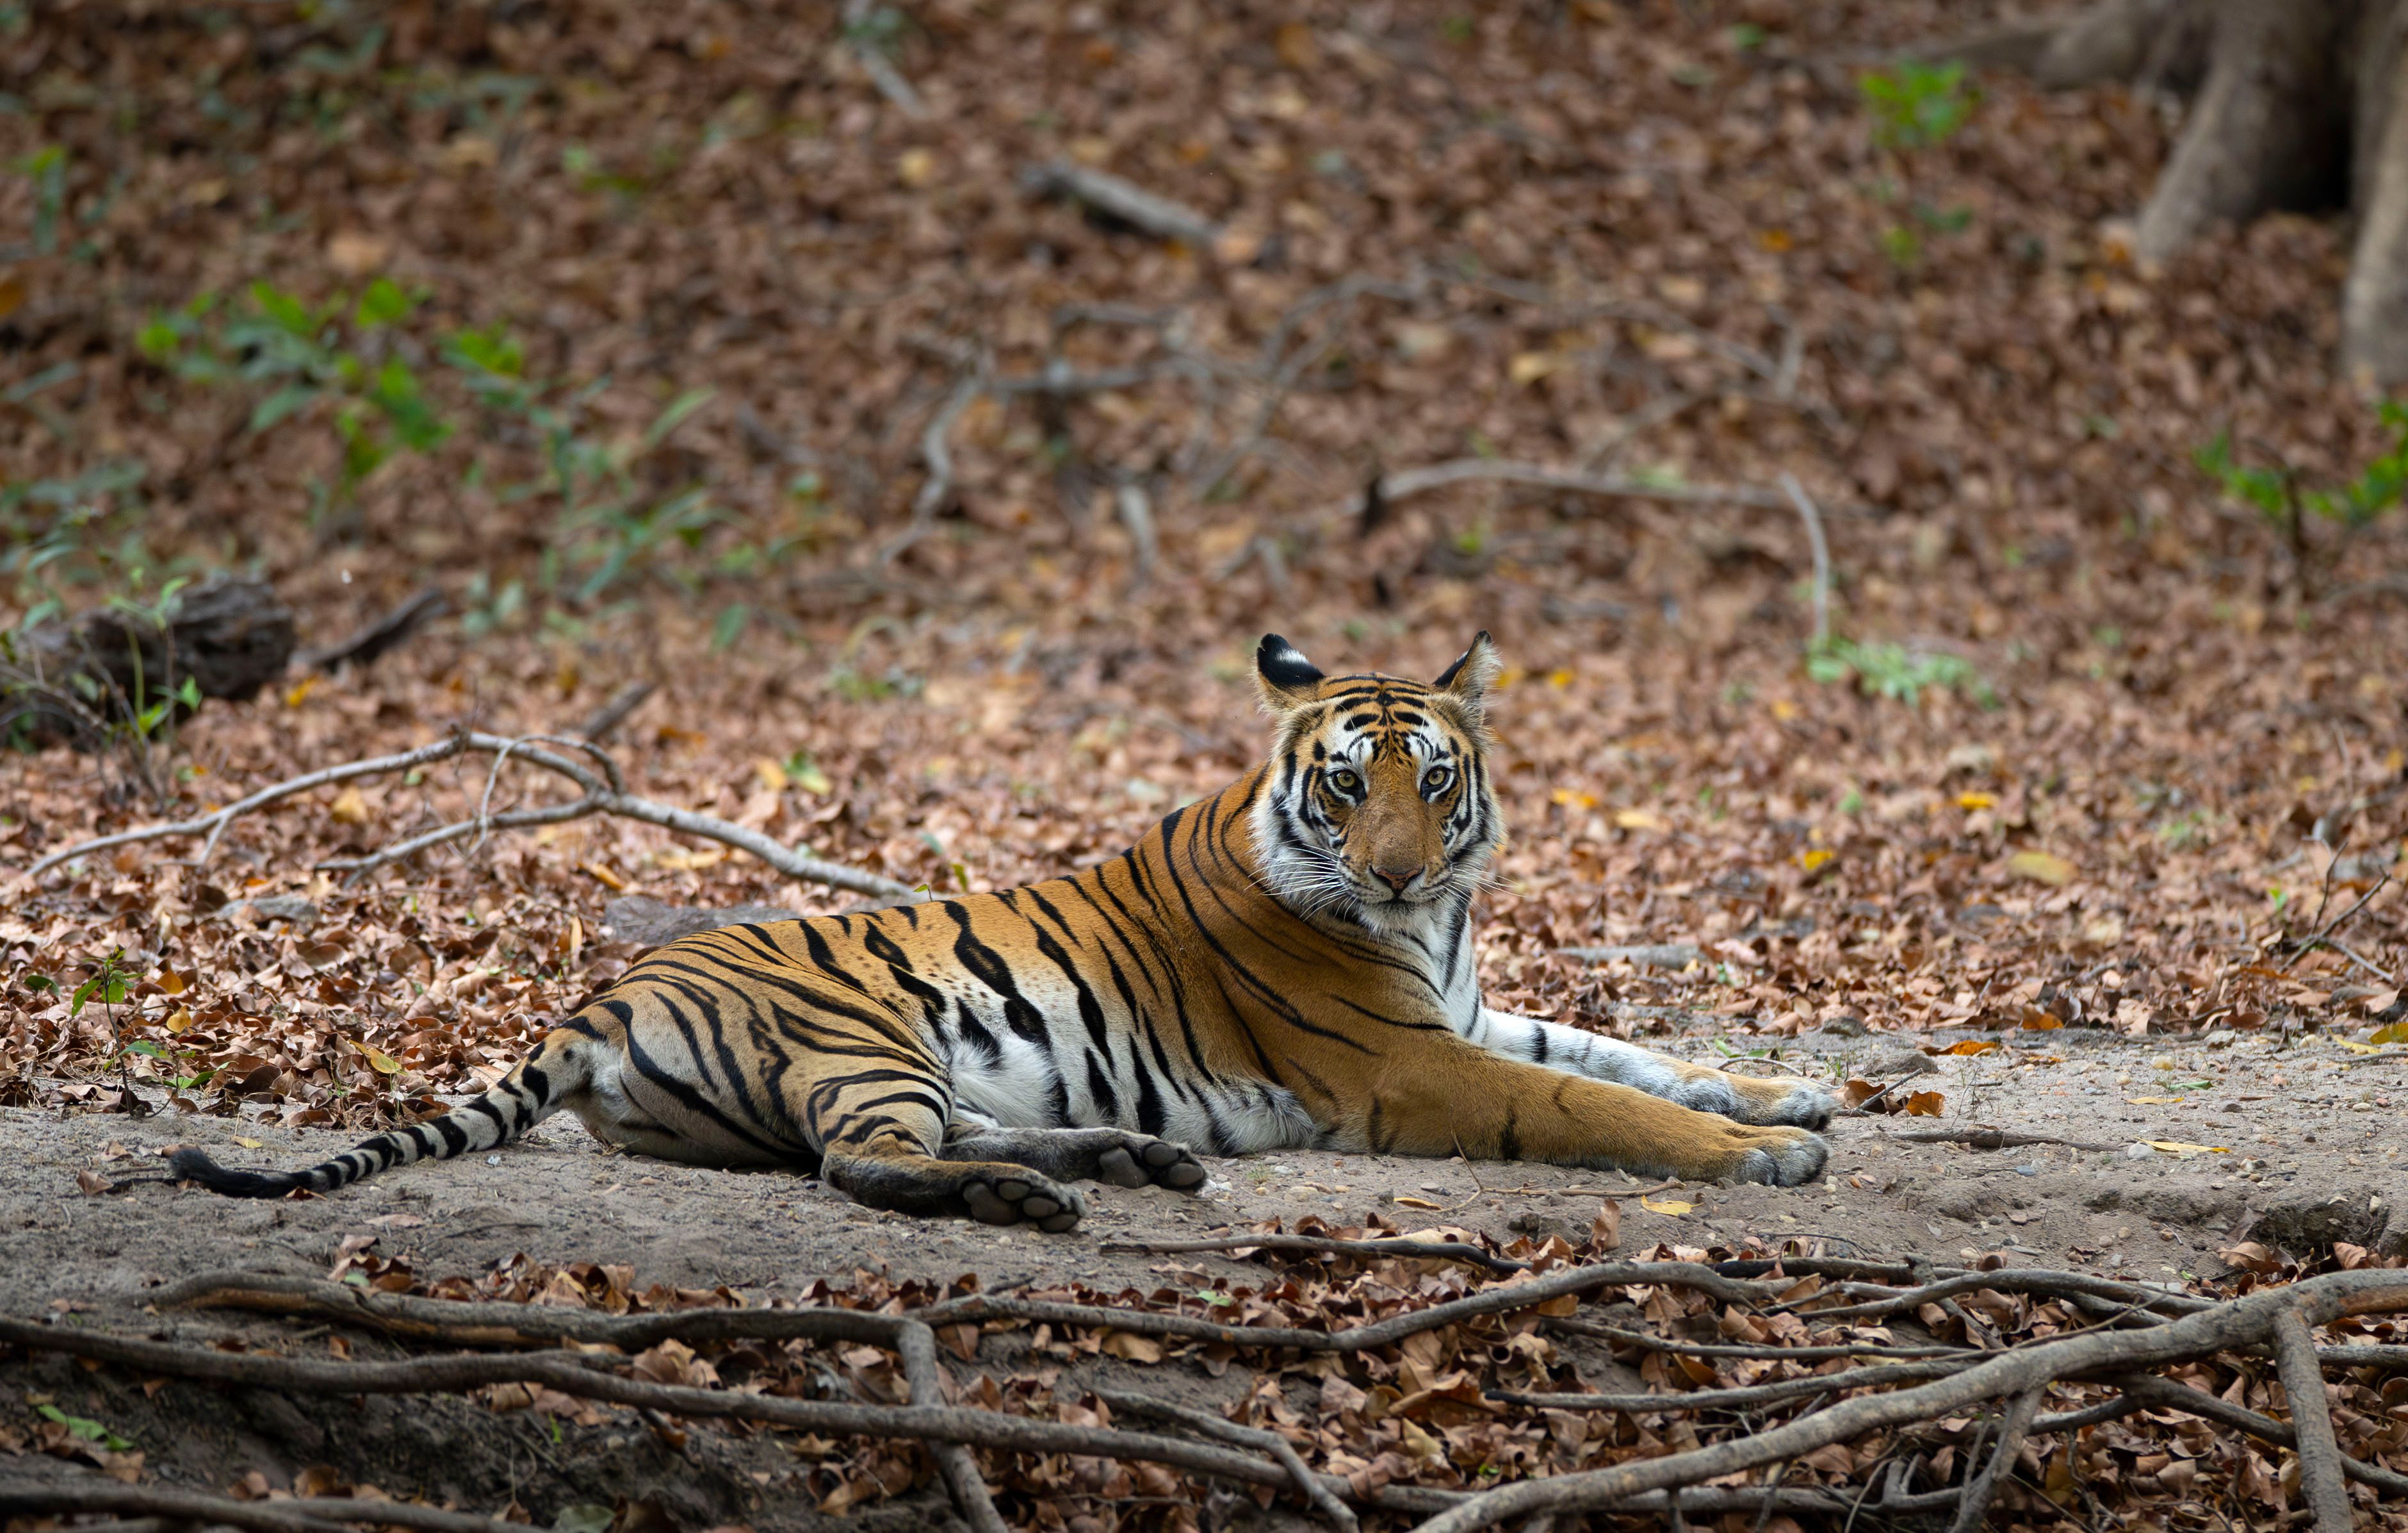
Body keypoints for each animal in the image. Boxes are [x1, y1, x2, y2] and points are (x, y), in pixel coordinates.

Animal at [173, 633, 1833, 1230]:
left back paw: (1128, 1158)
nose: (1398, 871)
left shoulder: (1472, 1014)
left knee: (933, 1135)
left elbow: (1625, 1050)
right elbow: (1594, 1101)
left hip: (910, 1065)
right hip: (866, 1033)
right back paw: (1042, 1199)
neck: (1435, 929)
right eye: (1345, 785)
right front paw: (1763, 1152)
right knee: (863, 1165)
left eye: (1430, 779)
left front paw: (1791, 1090)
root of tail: (606, 988)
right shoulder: (1419, 1062)